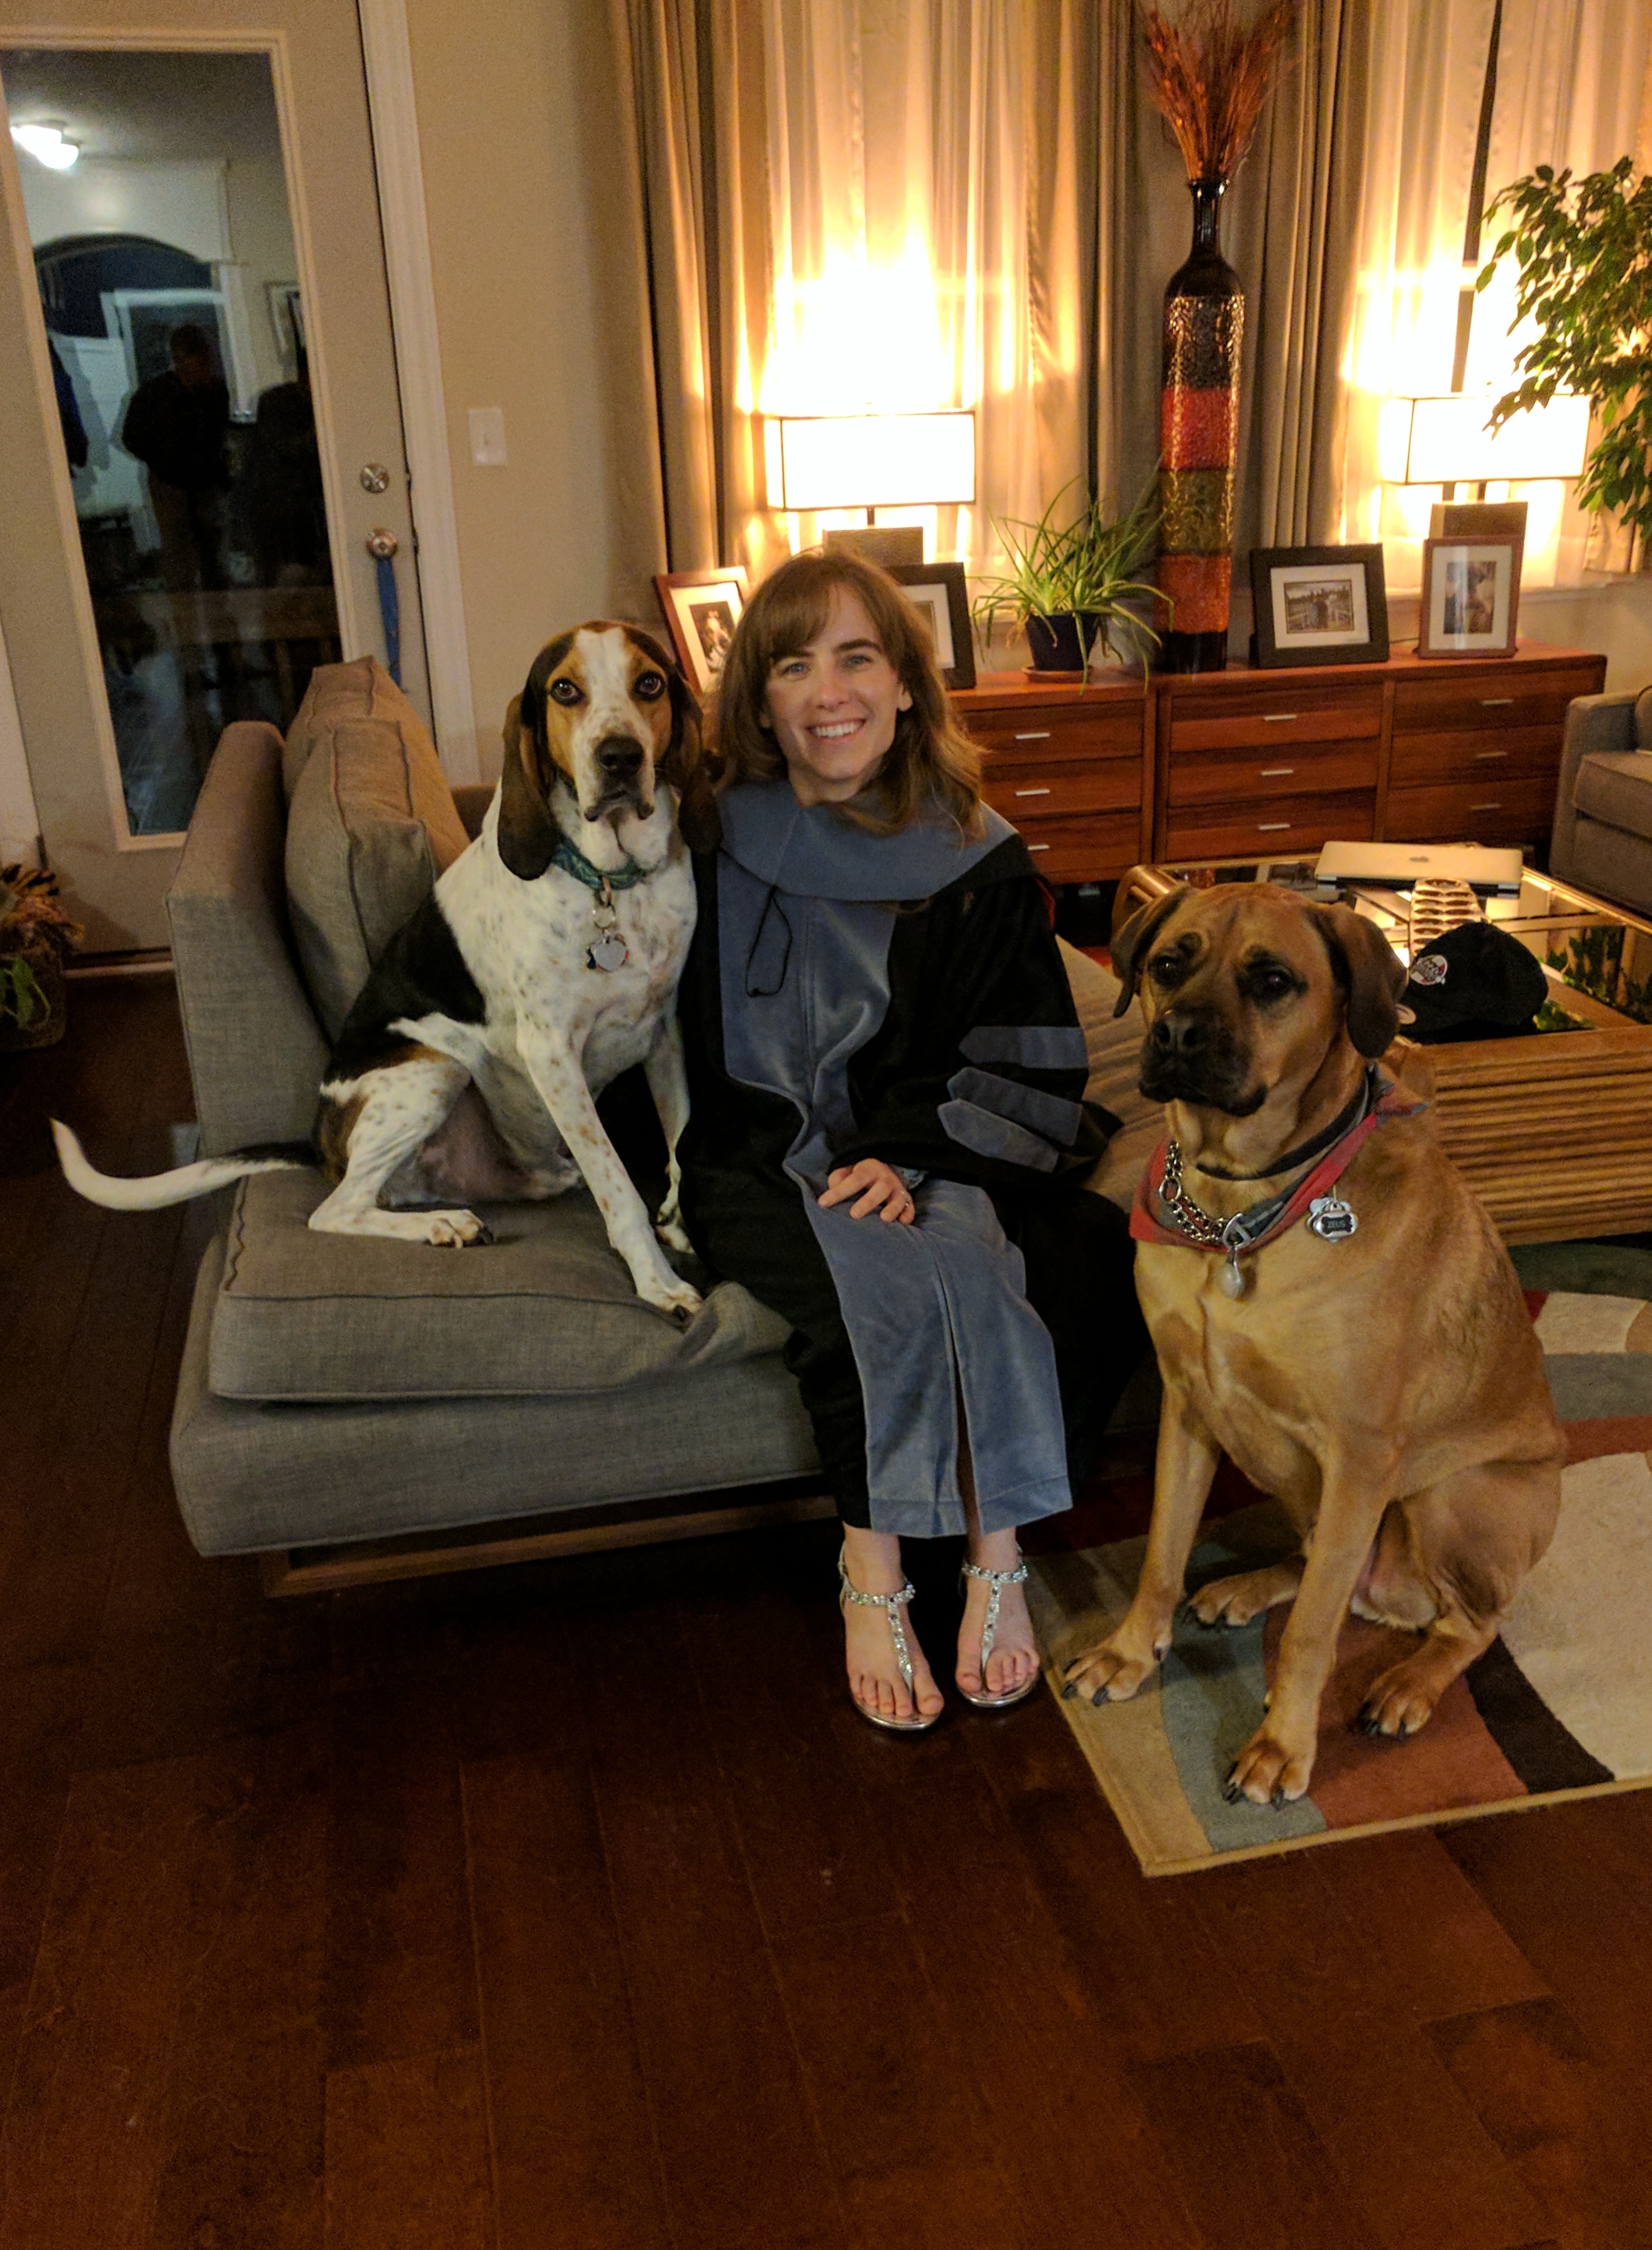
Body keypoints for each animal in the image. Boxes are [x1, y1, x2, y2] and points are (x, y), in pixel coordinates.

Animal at [55, 620, 715, 1314]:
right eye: (565, 690)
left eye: (650, 684)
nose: (620, 757)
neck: (613, 884)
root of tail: (319, 1142)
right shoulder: (552, 1054)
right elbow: (619, 1185)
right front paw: (657, 1281)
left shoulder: (663, 1032)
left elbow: (679, 1144)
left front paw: (679, 1225)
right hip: (434, 1069)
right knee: (336, 1209)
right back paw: (442, 1223)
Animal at [1062, 877, 1566, 1809]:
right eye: (1168, 964)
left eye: (1272, 980)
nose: (1176, 1034)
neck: (1239, 1209)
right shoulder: (1189, 1406)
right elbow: (1161, 1551)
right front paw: (1129, 1652)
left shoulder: (1360, 1456)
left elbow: (1310, 1634)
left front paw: (1281, 1747)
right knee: (1329, 1572)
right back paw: (1249, 1586)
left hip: (1449, 1498)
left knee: (1466, 1621)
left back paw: (1408, 1683)